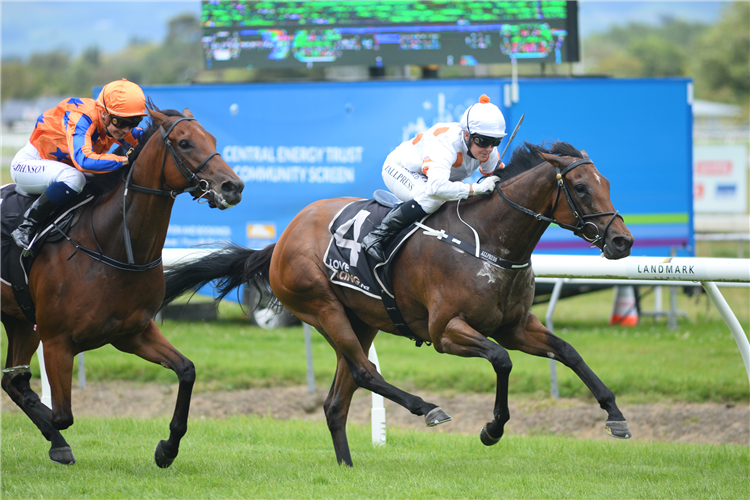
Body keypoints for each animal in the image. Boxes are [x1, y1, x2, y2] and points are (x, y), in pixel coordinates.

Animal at [0, 103, 244, 466]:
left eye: (212, 139)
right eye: (185, 143)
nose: (233, 186)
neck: (110, 245)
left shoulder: (132, 332)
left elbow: (186, 370)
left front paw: (167, 448)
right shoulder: (57, 341)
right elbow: (62, 415)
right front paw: (59, 441)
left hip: (20, 321)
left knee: (12, 380)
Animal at [163, 140, 636, 464]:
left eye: (607, 184)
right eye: (580, 187)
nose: (622, 241)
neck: (489, 240)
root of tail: (280, 241)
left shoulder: (515, 325)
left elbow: (569, 352)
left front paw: (615, 415)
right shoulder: (447, 332)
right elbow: (502, 361)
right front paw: (492, 428)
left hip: (361, 320)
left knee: (337, 400)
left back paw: (348, 466)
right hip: (322, 308)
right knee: (364, 371)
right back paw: (426, 408)